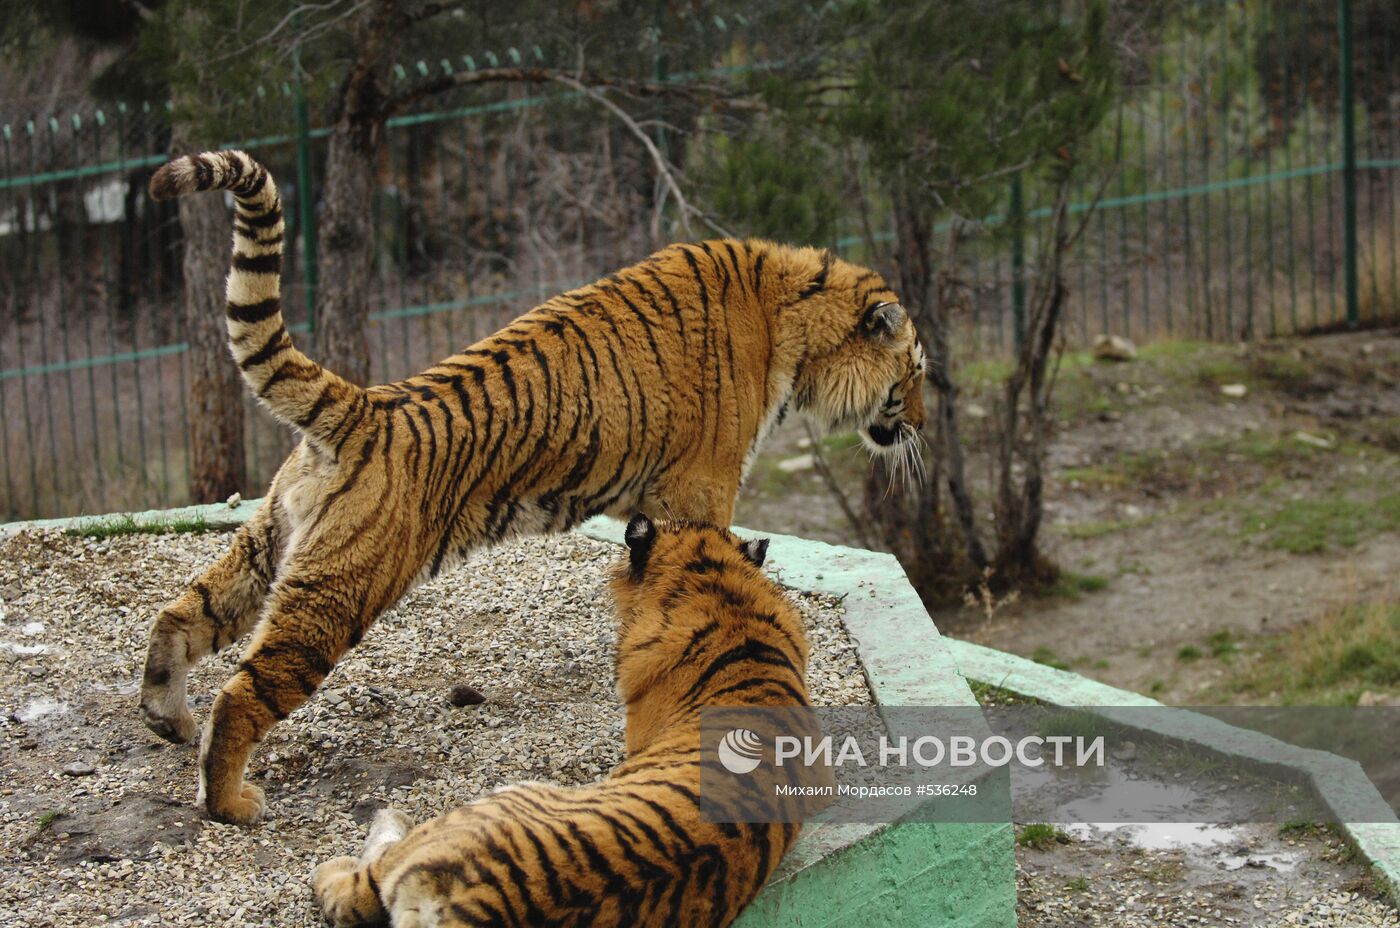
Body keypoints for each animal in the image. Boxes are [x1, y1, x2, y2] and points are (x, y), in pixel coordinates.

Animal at [139, 150, 929, 828]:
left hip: (271, 546)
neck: (791, 313)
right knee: (243, 693)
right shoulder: (700, 490)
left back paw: (167, 718)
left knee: (179, 615)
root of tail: (365, 405)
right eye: (915, 371)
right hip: (336, 593)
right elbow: (715, 571)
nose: (923, 421)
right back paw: (229, 801)